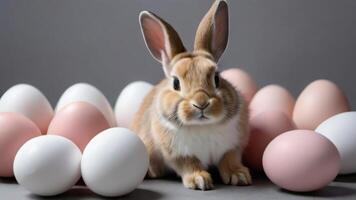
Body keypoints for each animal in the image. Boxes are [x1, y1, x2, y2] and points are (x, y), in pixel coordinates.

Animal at [131, 0, 253, 191]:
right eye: (176, 83)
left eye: (217, 78)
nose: (201, 103)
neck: (202, 126)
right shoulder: (178, 155)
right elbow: (190, 164)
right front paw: (199, 180)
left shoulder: (233, 147)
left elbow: (229, 160)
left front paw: (239, 176)